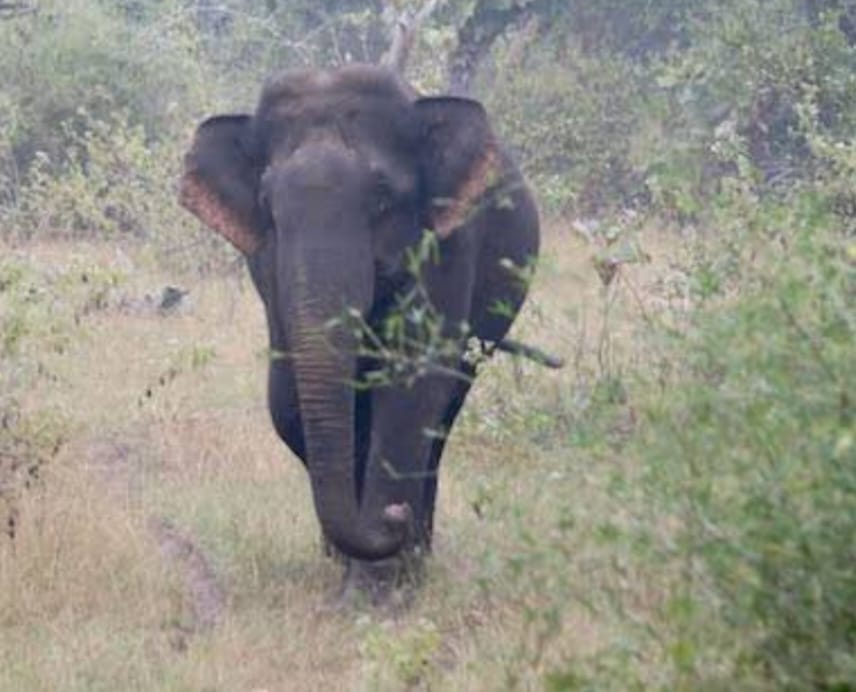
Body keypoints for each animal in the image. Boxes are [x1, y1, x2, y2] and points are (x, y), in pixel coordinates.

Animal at [179, 64, 540, 599]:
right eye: (267, 203)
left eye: (383, 198)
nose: (394, 517)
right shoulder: (265, 266)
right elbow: (289, 401)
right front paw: (348, 568)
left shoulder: (448, 244)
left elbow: (412, 387)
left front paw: (377, 592)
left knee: (444, 412)